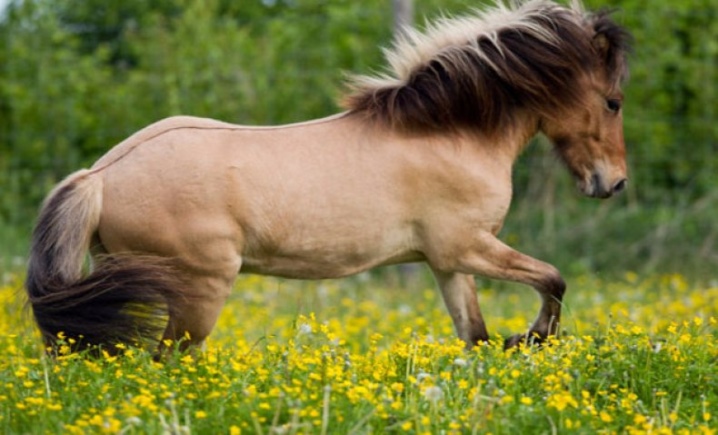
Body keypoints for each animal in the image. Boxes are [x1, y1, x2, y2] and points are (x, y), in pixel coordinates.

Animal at [23, 0, 632, 354]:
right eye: (613, 101)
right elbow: (554, 279)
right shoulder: (469, 246)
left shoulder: (447, 262)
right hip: (200, 291)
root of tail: (100, 175)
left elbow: (475, 337)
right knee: (170, 362)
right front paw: (530, 337)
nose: (613, 183)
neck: (448, 133)